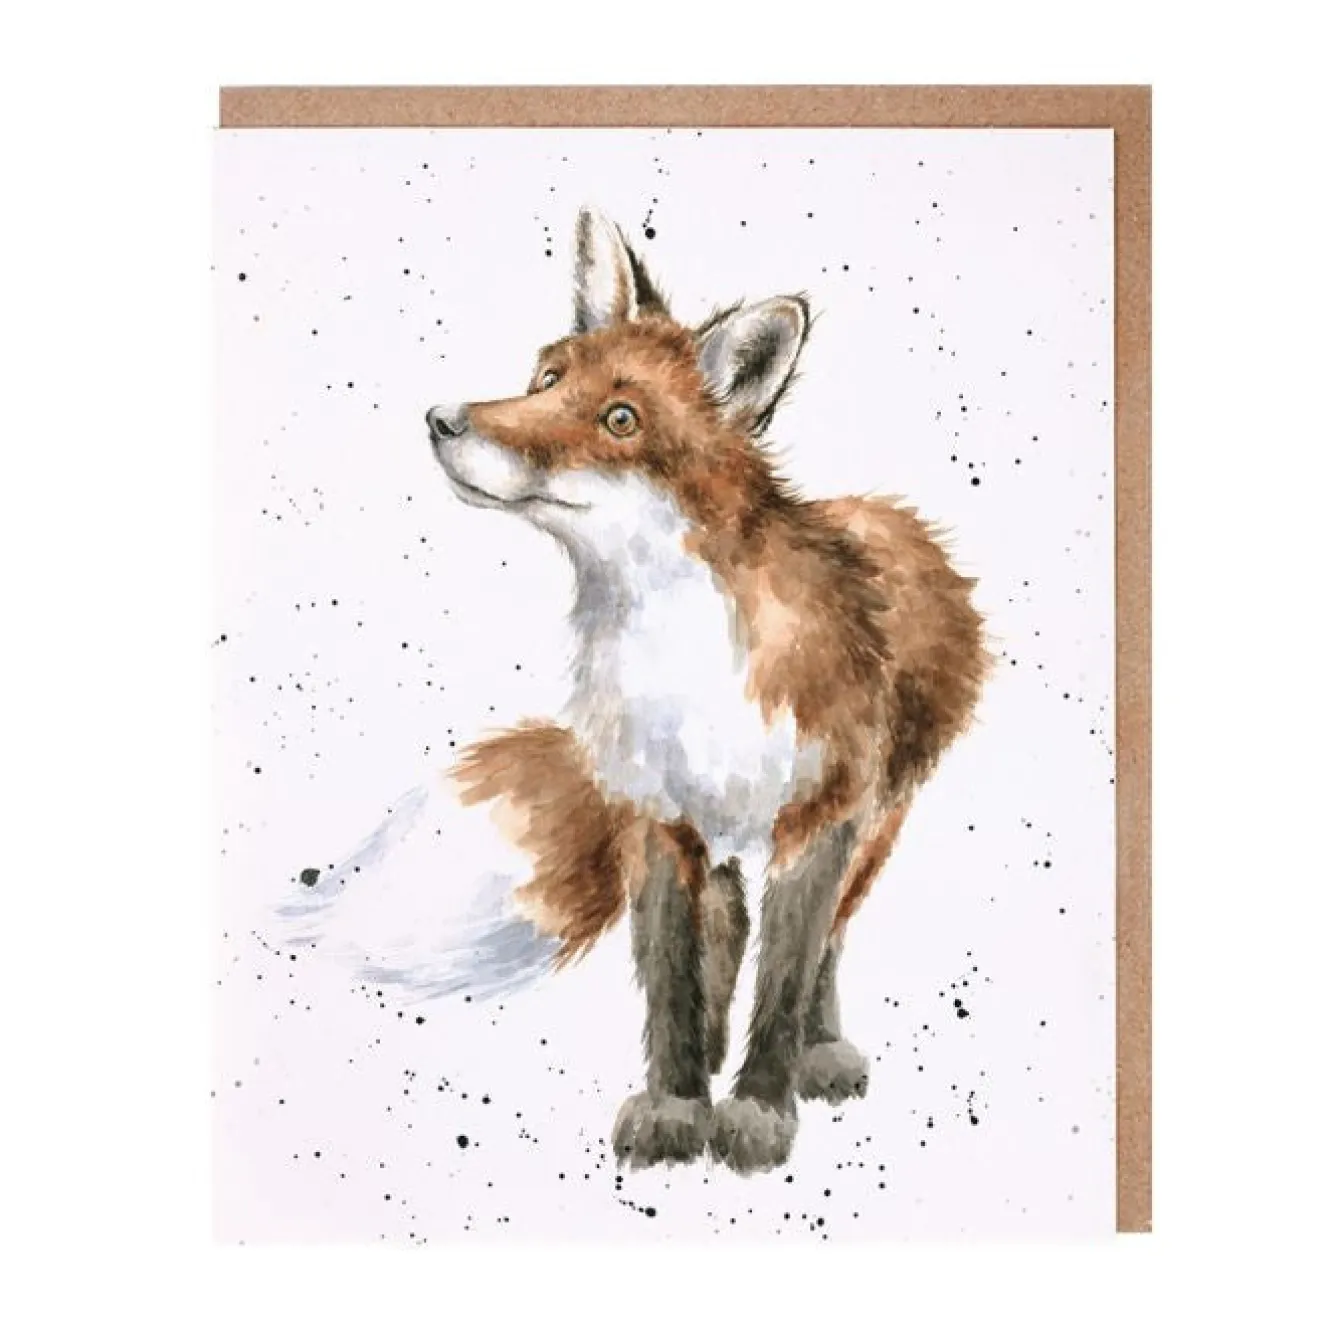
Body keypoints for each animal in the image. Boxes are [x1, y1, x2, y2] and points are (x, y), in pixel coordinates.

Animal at [281, 208, 988, 1175]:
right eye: (545, 378)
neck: (684, 660)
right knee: (728, 933)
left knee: (827, 942)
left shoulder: (819, 819)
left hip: (878, 819)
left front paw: (757, 1108)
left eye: (620, 419)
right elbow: (673, 980)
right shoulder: (658, 821)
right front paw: (678, 1102)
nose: (442, 420)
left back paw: (816, 1051)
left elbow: (785, 975)